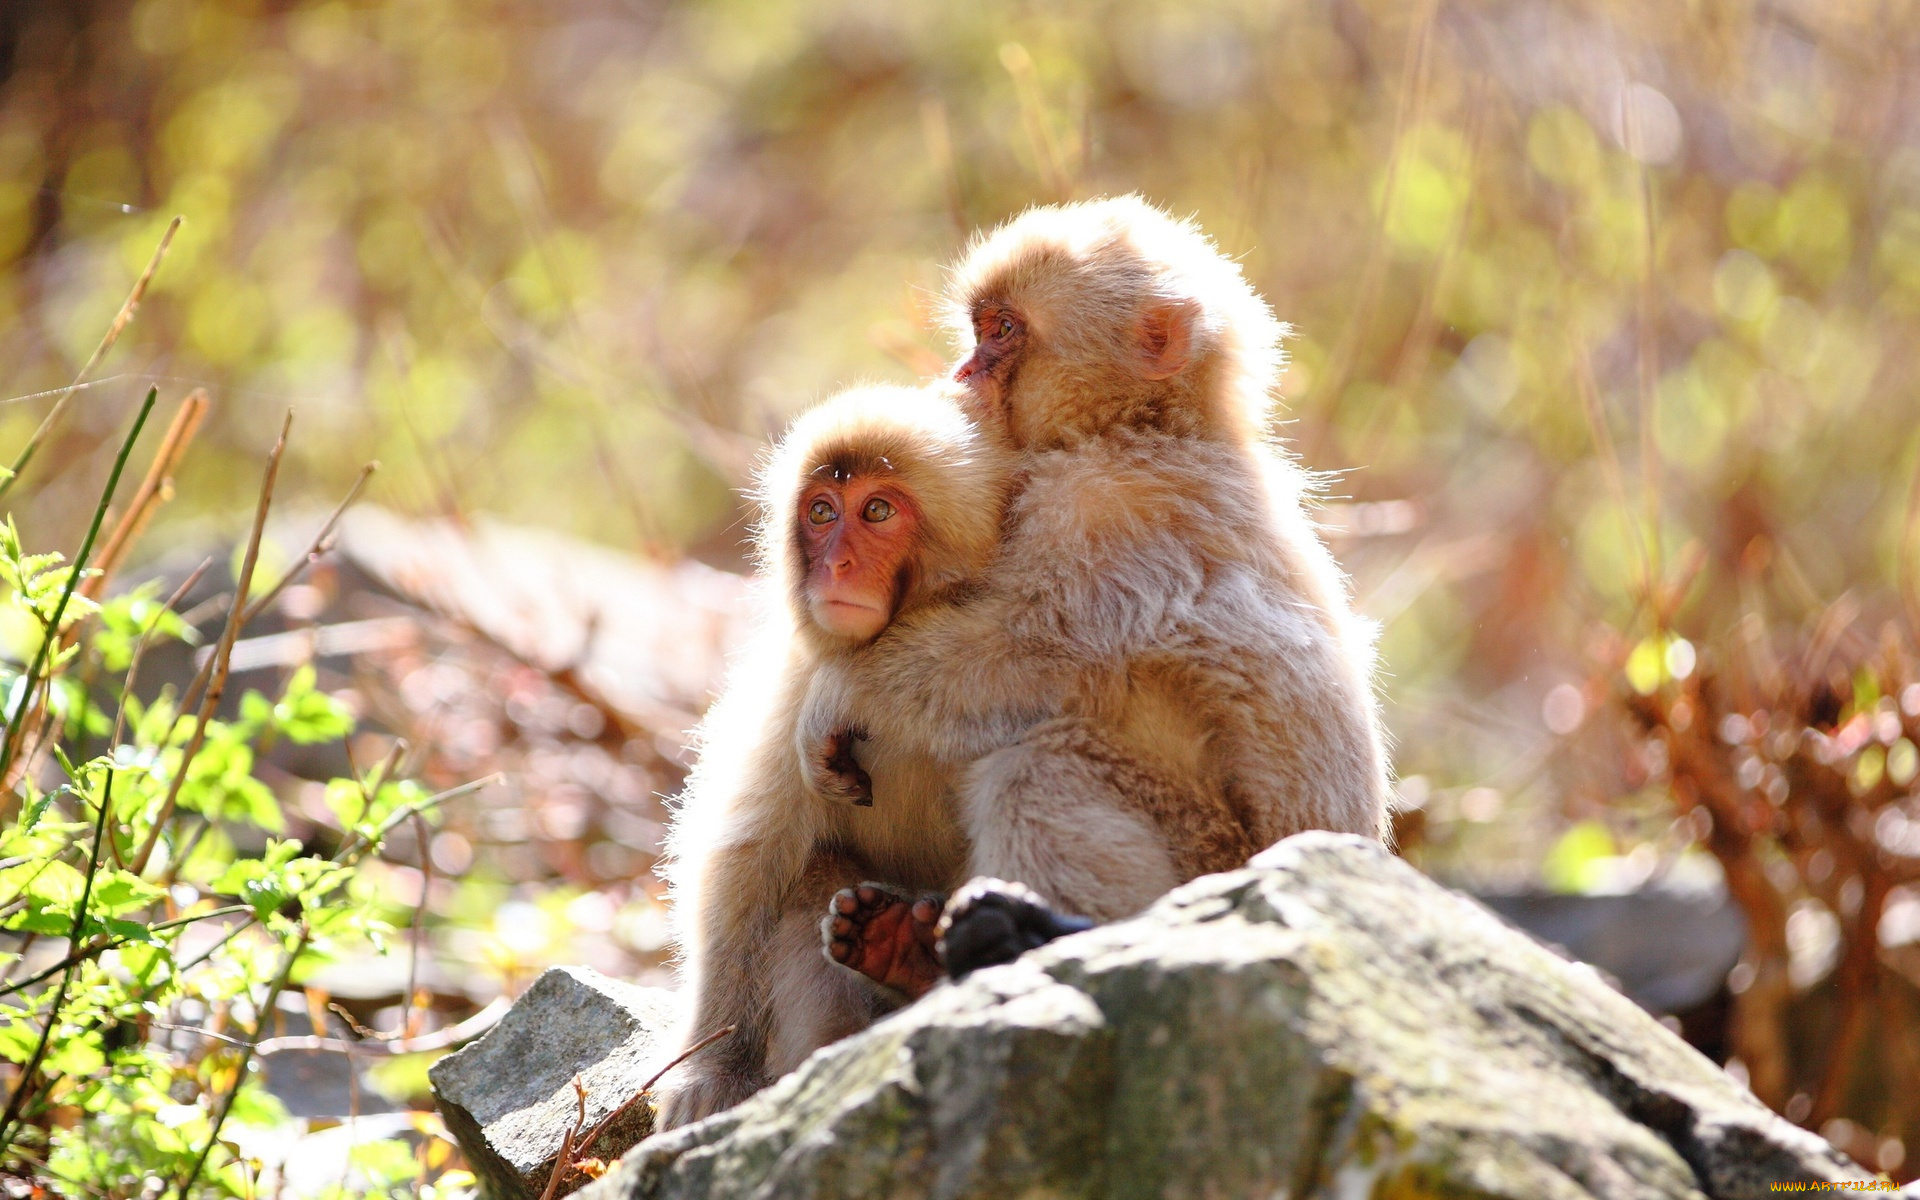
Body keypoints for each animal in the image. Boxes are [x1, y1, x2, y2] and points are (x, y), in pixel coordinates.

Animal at [652, 378, 1013, 1128]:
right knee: (812, 873)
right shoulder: (797, 684)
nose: (836, 566)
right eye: (821, 512)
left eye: (877, 510)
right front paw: (711, 1070)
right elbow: (749, 859)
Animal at [802, 196, 1390, 998]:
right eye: (981, 329)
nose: (964, 370)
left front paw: (837, 694)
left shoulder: (1103, 511)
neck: (1140, 426)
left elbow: (1029, 654)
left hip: (1208, 855)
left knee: (1041, 765)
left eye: (1003, 332)